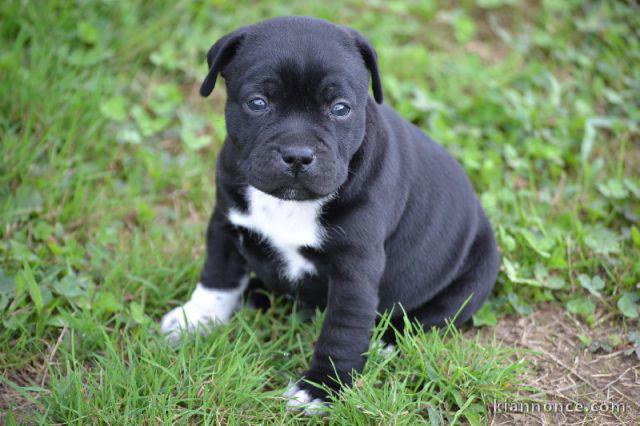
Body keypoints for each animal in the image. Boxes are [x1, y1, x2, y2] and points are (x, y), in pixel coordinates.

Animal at [160, 15, 500, 412]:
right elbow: (216, 278)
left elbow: (342, 331)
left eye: (340, 109)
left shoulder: (354, 271)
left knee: (425, 319)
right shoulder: (226, 225)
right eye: (257, 103)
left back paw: (383, 342)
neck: (291, 203)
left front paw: (321, 387)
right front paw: (194, 319)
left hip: (472, 281)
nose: (297, 154)